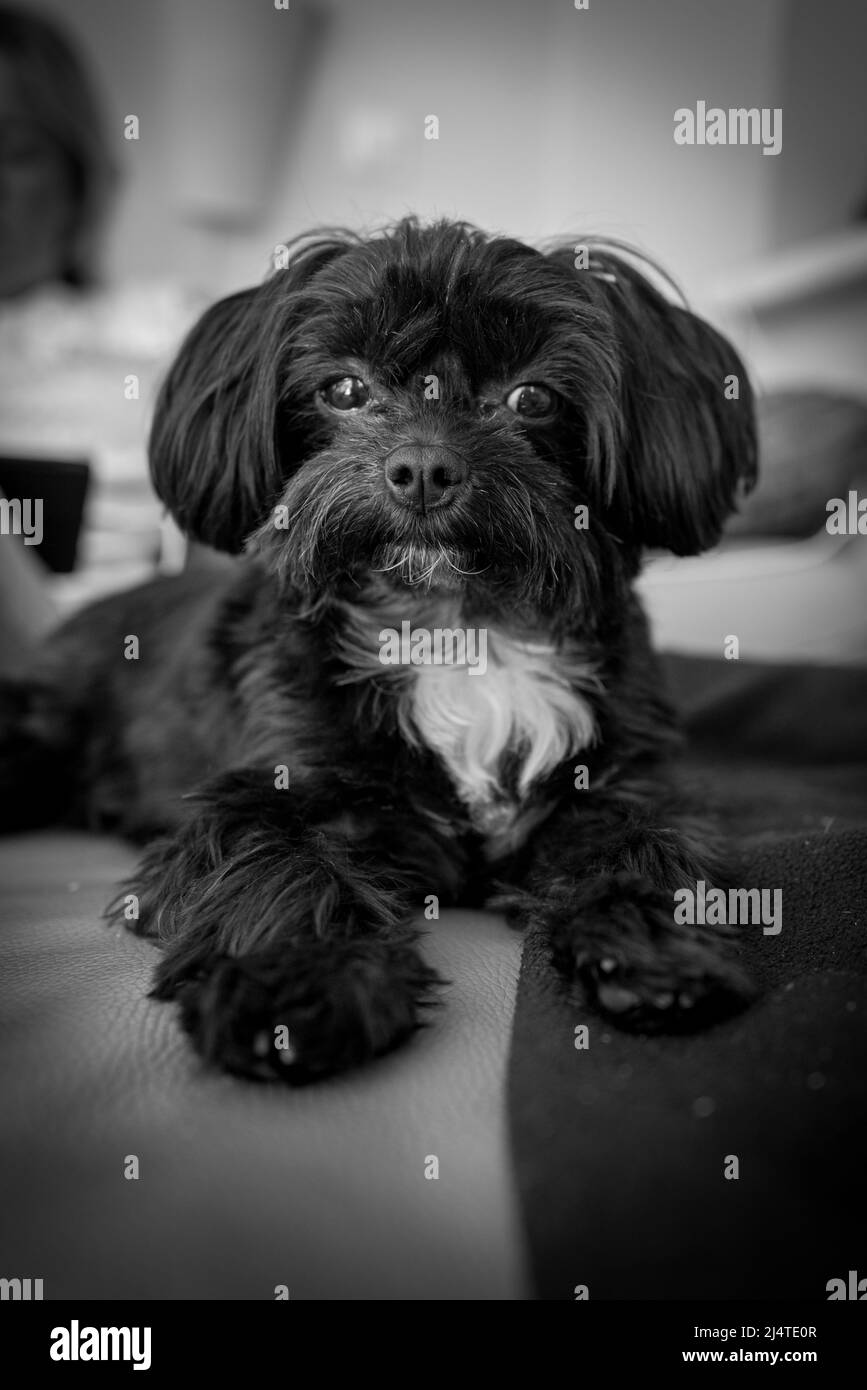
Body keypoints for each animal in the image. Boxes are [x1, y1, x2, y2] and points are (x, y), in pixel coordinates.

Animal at [0, 219, 755, 1084]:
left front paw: (651, 949)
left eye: (531, 398)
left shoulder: (619, 784)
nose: (422, 466)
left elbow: (640, 847)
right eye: (344, 390)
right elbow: (275, 859)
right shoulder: (270, 786)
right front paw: (296, 986)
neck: (456, 629)